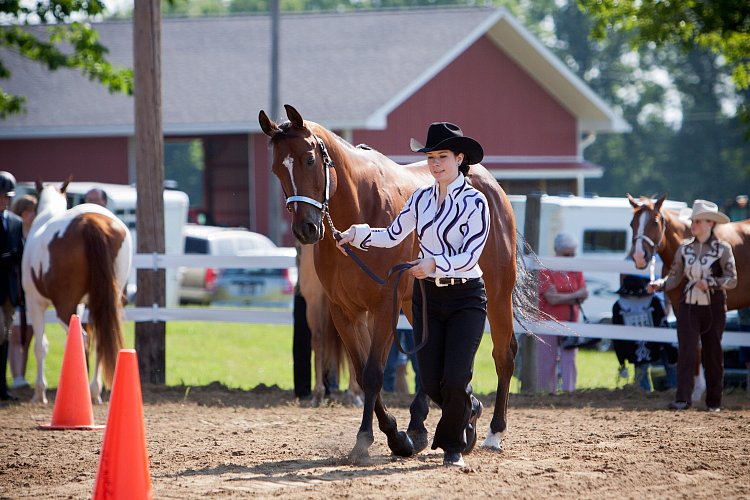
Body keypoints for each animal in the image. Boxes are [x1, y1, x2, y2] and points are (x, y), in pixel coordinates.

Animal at [258, 104, 516, 460]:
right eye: (275, 169)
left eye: (309, 159)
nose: (306, 229)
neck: (359, 205)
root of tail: (490, 184)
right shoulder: (344, 312)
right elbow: (362, 370)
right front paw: (398, 436)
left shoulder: (383, 307)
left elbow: (373, 373)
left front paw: (368, 438)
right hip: (416, 303)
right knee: (429, 363)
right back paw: (430, 425)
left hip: (498, 292)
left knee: (503, 354)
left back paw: (494, 432)